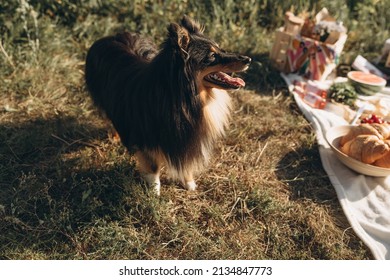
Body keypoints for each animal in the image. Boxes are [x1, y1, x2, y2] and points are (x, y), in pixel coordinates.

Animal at [84, 15, 250, 195]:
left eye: (221, 49)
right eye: (212, 56)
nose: (248, 59)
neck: (184, 97)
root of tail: (112, 36)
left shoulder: (187, 137)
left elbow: (186, 161)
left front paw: (188, 182)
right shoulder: (148, 138)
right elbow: (153, 167)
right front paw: (154, 192)